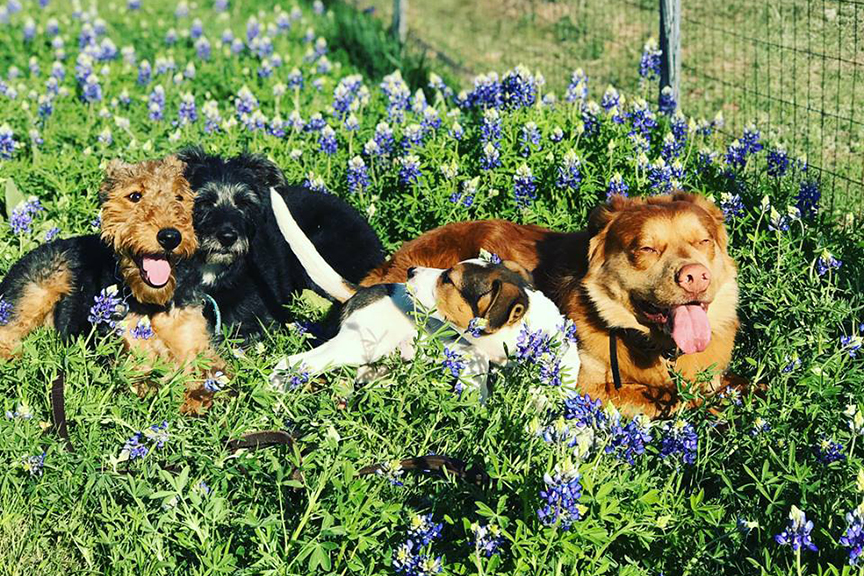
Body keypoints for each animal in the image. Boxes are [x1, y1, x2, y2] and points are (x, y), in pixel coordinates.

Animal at [0, 155, 226, 412]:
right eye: (135, 196)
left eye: (179, 197)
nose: (170, 237)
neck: (150, 301)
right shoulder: (128, 357)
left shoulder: (194, 342)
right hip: (34, 294)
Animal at [270, 190, 580, 396]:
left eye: (448, 280)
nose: (411, 272)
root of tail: (365, 290)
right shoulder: (471, 355)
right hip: (356, 346)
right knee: (293, 362)